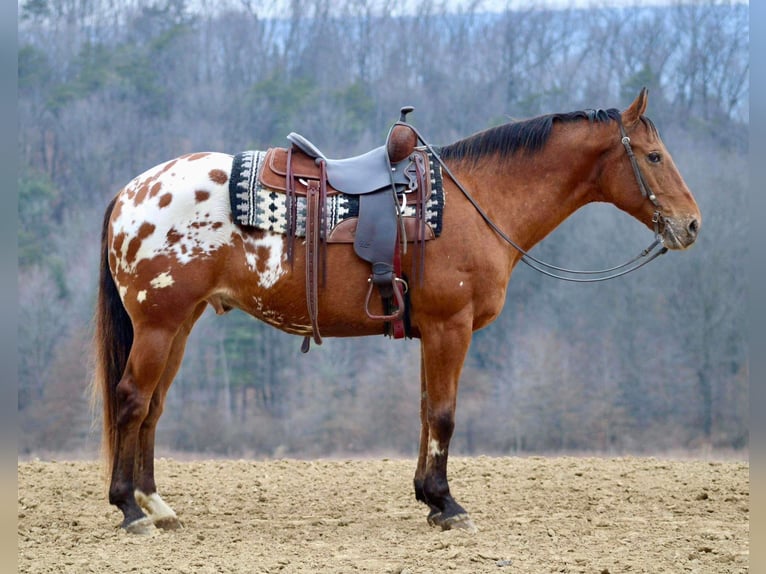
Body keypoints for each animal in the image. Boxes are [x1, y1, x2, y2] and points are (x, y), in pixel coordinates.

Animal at [90, 89, 704, 536]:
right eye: (653, 156)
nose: (692, 224)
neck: (476, 200)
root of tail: (130, 193)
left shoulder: (432, 332)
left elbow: (427, 411)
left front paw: (428, 499)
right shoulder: (451, 328)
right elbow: (445, 415)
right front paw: (448, 505)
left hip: (179, 324)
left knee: (152, 408)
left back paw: (156, 504)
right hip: (158, 324)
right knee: (131, 401)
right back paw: (130, 511)